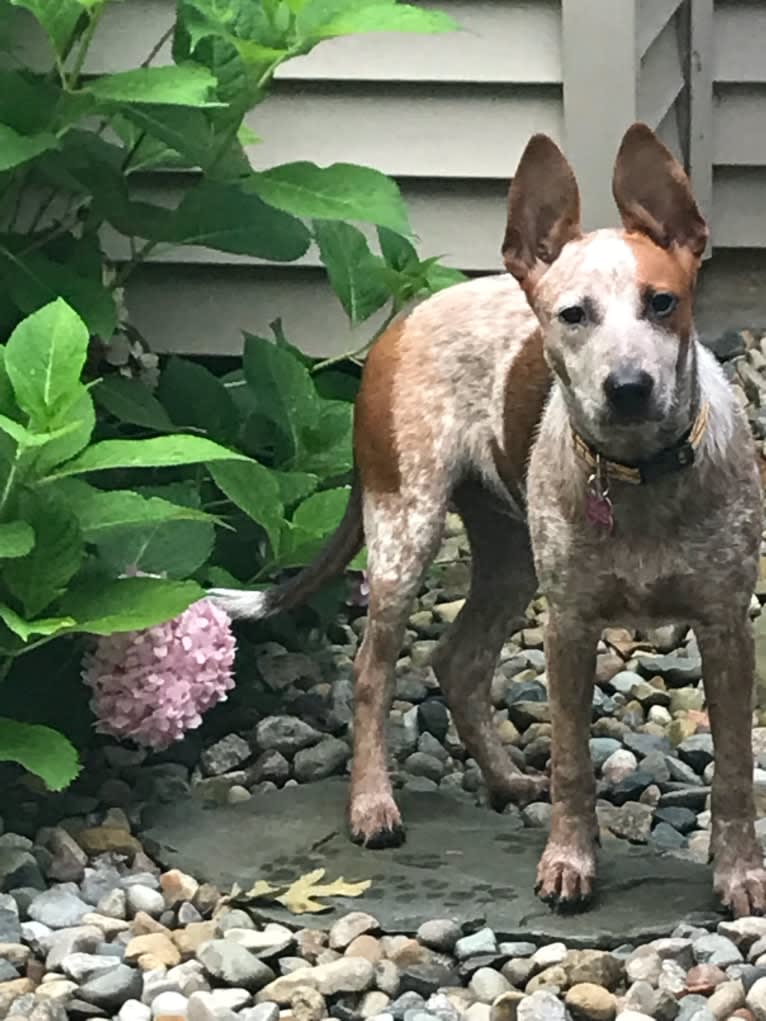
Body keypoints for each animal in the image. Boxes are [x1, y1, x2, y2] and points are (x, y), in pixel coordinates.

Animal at [211, 121, 766, 918]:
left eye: (663, 303)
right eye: (573, 315)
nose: (628, 387)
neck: (638, 480)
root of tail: (404, 319)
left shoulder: (726, 627)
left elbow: (733, 770)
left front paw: (740, 873)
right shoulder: (569, 626)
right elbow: (572, 759)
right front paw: (569, 860)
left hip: (513, 557)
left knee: (459, 660)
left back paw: (504, 778)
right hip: (404, 531)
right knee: (372, 671)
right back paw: (372, 804)